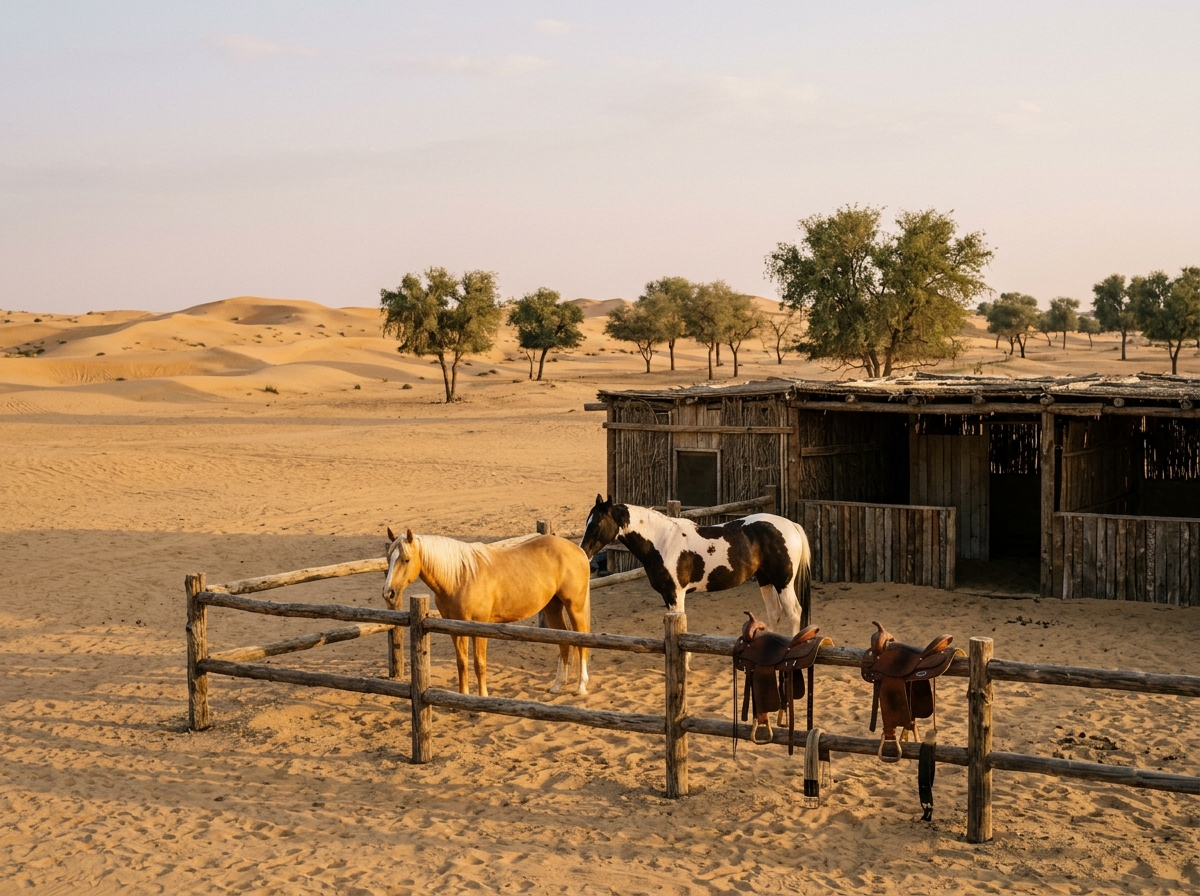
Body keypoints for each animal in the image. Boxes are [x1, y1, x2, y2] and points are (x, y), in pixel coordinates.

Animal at [383, 527, 592, 697]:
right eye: (388, 558)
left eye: (406, 559)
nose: (388, 592)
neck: (461, 577)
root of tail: (578, 550)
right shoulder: (455, 629)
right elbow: (462, 663)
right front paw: (462, 697)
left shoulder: (479, 627)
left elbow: (479, 664)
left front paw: (482, 696)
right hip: (552, 607)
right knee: (564, 641)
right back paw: (557, 685)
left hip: (575, 607)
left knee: (581, 641)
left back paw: (581, 687)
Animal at [578, 495, 812, 635]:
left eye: (597, 523)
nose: (583, 552)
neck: (662, 541)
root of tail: (791, 524)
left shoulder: (675, 595)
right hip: (765, 579)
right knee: (774, 612)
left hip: (783, 581)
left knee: (793, 612)